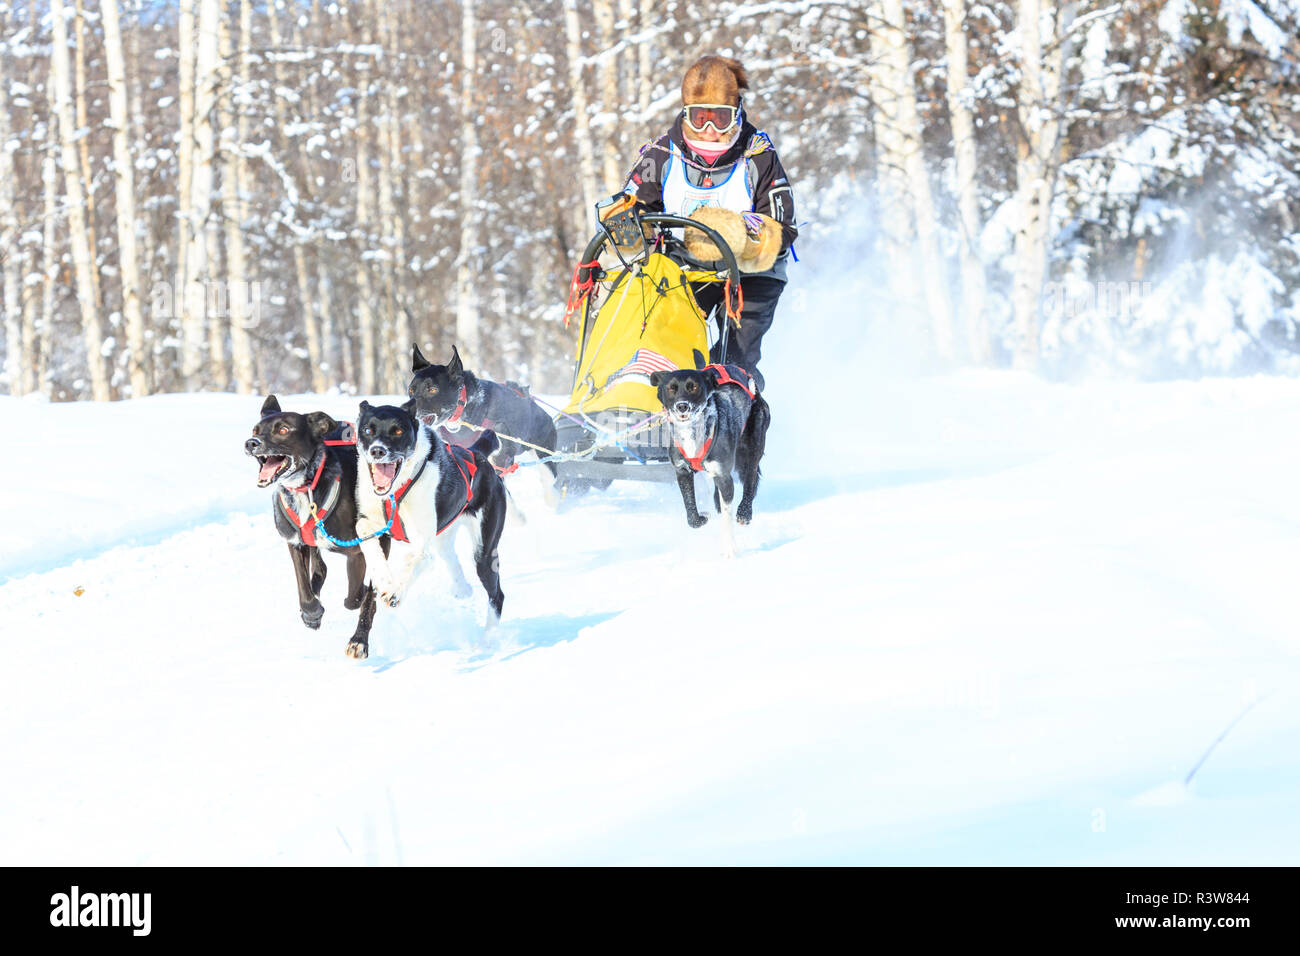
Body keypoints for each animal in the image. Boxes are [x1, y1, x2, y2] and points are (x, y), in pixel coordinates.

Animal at [244, 395, 382, 658]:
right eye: (255, 430)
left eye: (283, 430)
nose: (251, 443)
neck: (305, 487)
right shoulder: (295, 542)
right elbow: (304, 587)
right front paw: (312, 614)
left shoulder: (358, 551)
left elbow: (356, 596)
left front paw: (358, 634)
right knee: (320, 569)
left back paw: (359, 639)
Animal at [356, 395, 506, 621]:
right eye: (367, 430)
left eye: (398, 431)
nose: (377, 450)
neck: (395, 492)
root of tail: (476, 453)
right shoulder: (371, 521)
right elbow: (363, 533)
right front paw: (384, 579)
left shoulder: (420, 543)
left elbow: (417, 558)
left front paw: (395, 590)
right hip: (445, 537)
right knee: (452, 561)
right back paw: (462, 589)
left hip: (484, 552)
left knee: (497, 596)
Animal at [405, 343, 559, 509]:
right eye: (411, 390)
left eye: (432, 389)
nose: (405, 409)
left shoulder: (498, 459)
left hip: (543, 454)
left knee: (549, 479)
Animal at [650, 366, 769, 561]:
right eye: (671, 388)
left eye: (693, 387)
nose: (682, 406)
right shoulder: (682, 472)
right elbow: (690, 511)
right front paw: (701, 518)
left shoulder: (723, 476)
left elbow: (727, 517)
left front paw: (729, 547)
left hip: (752, 449)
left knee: (750, 478)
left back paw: (744, 512)